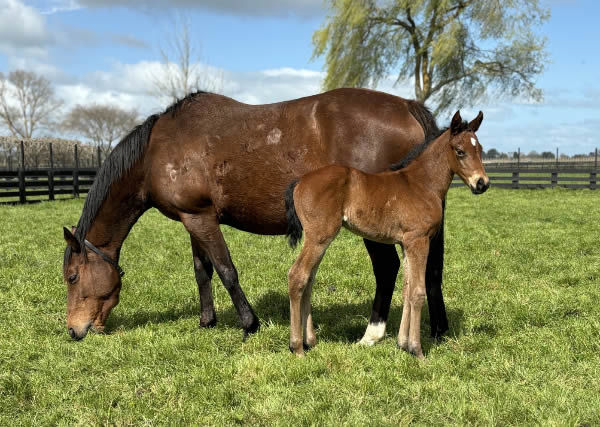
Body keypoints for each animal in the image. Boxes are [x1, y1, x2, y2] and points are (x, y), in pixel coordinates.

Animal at [62, 88, 450, 342]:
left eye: (71, 277)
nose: (74, 330)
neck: (159, 149)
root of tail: (407, 107)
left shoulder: (201, 218)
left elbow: (226, 270)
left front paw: (249, 324)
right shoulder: (193, 219)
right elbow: (202, 272)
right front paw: (207, 321)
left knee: (387, 269)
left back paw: (373, 334)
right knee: (429, 272)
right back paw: (438, 329)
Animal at [284, 109, 488, 358]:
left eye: (480, 150)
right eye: (460, 151)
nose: (482, 183)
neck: (422, 184)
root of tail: (299, 182)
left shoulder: (406, 243)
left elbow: (407, 290)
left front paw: (403, 344)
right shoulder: (419, 240)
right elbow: (418, 292)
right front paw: (417, 350)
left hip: (319, 239)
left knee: (309, 279)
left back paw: (310, 341)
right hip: (319, 237)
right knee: (297, 276)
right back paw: (297, 347)